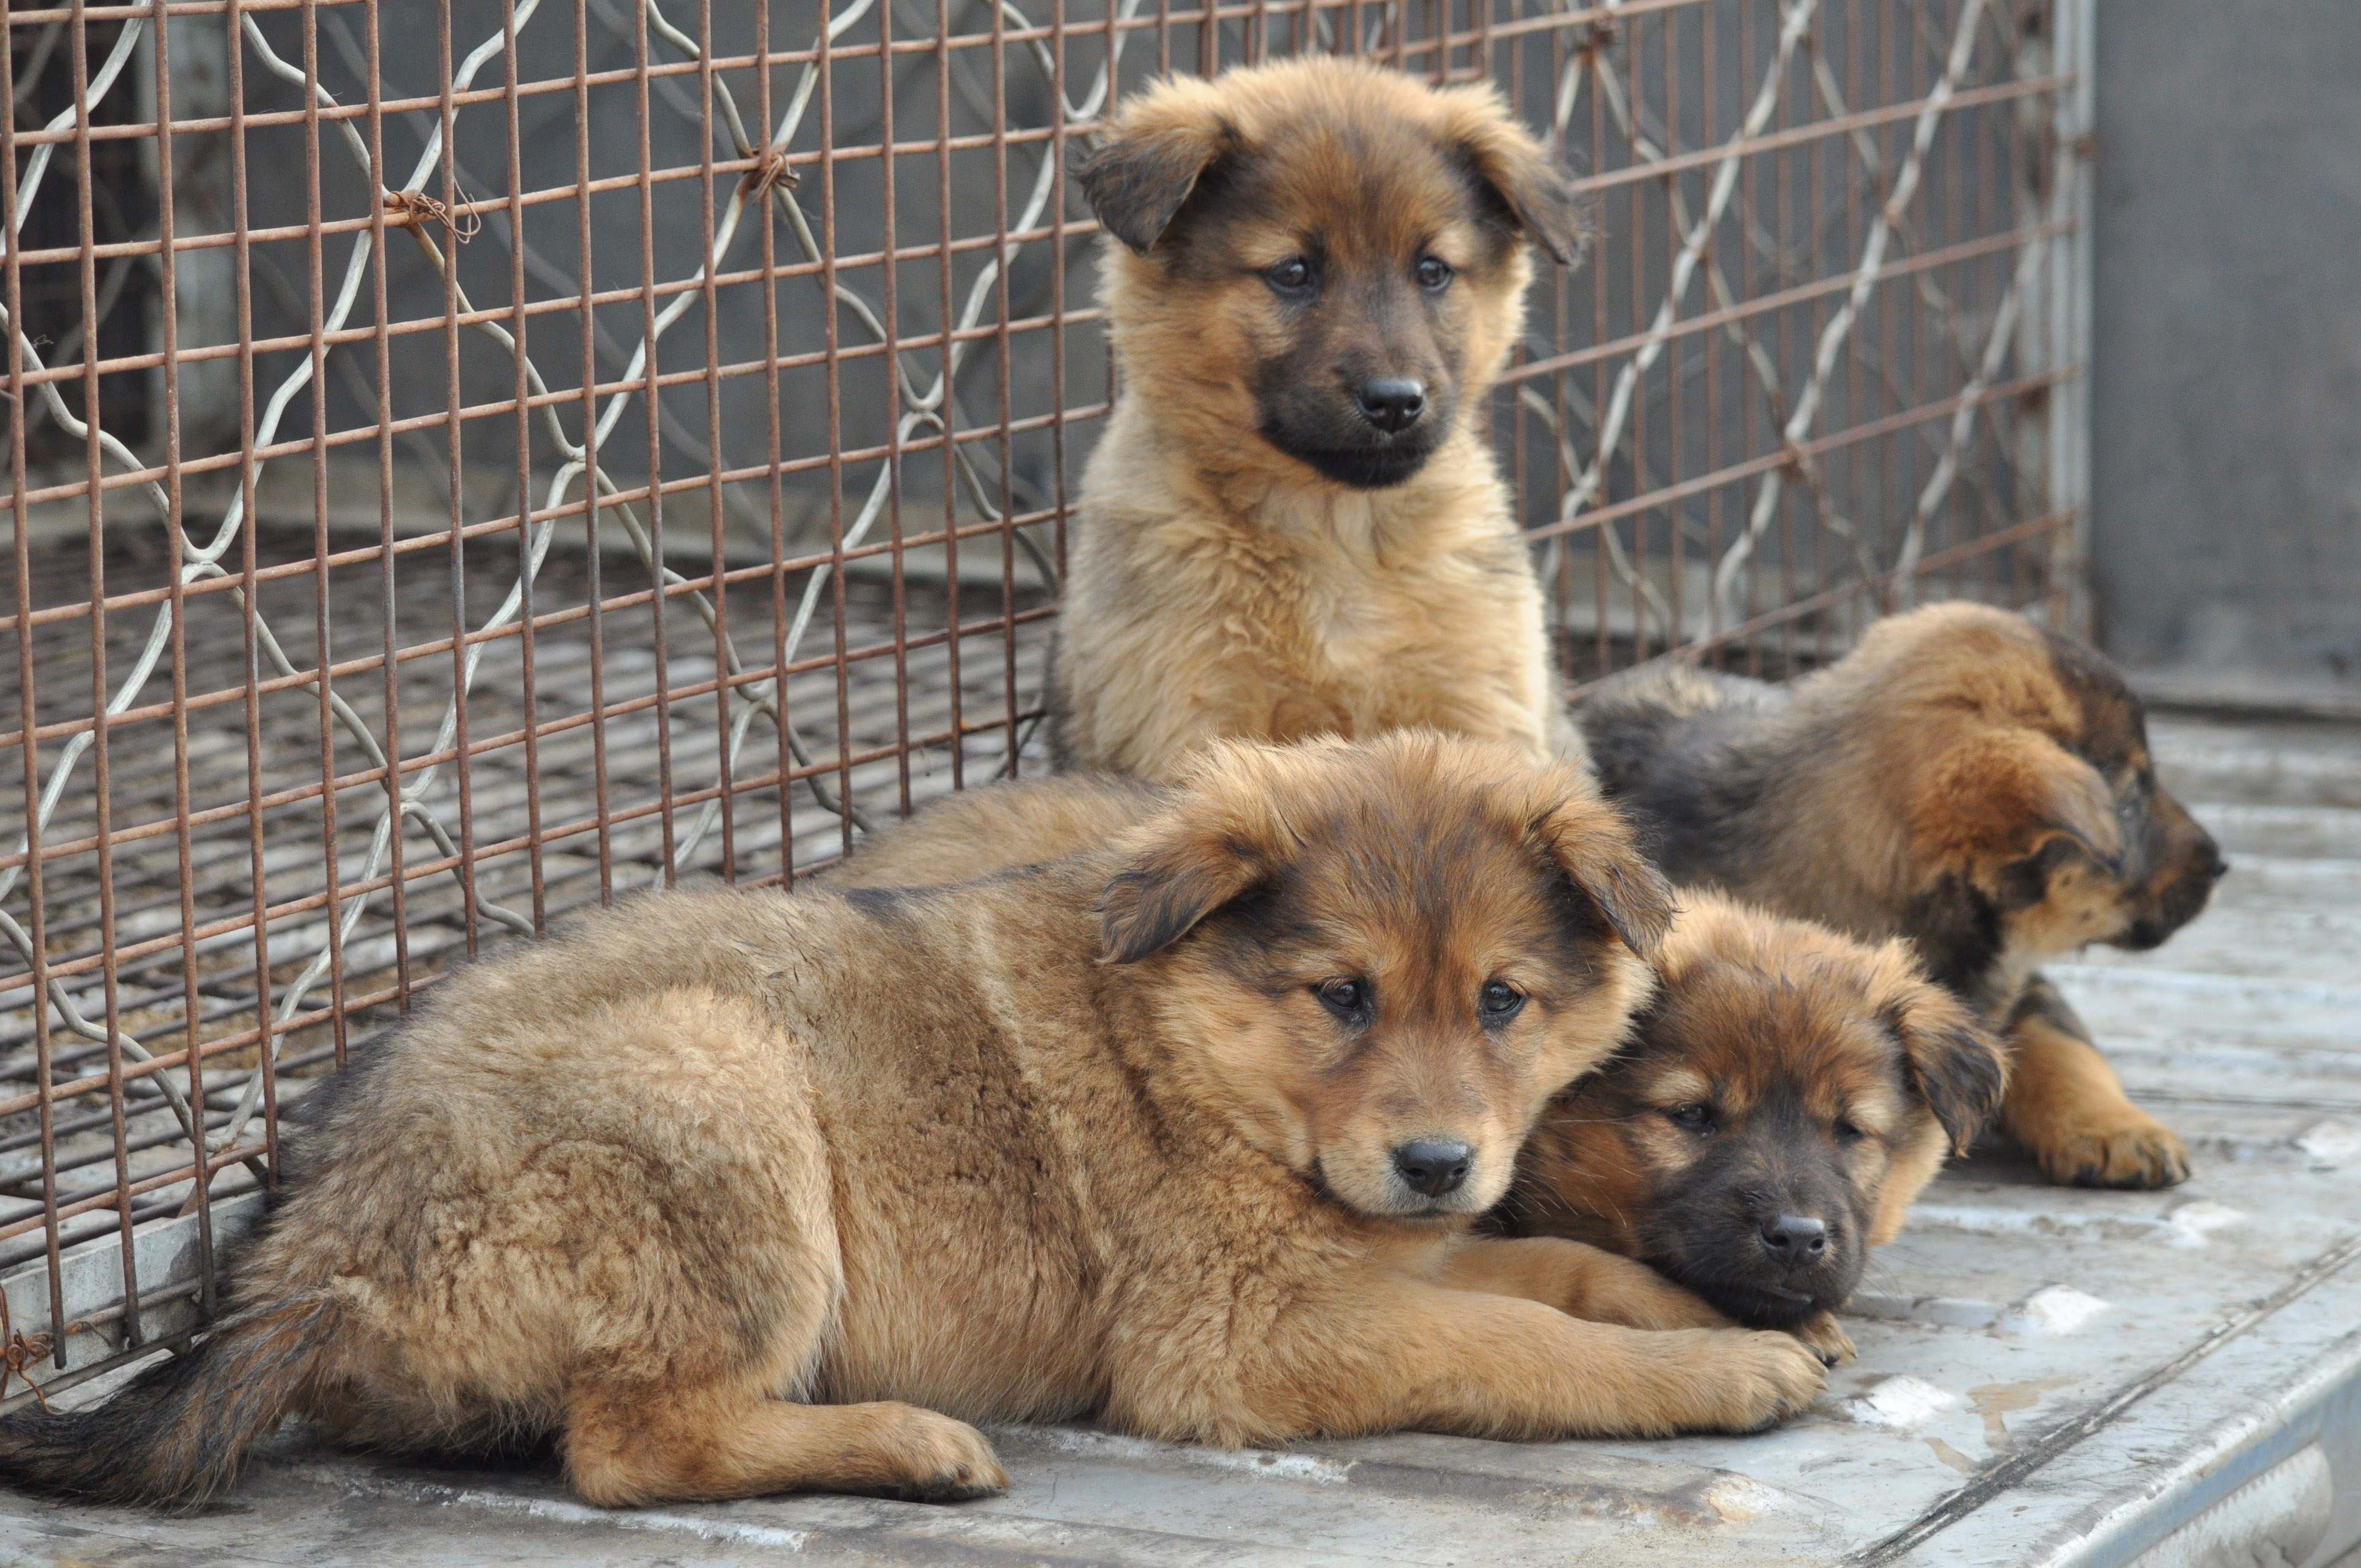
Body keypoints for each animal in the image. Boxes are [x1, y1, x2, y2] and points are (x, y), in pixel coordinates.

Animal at [0, 741, 1823, 1511]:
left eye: (1504, 1001)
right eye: (1343, 996)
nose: (1436, 1161)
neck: (1189, 1047)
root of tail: (313, 1259)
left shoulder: (1386, 1256)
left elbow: (1545, 1274)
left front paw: (1716, 1309)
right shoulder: (1245, 1338)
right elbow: (1521, 1338)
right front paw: (1716, 1367)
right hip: (720, 1083)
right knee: (633, 1450)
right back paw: (904, 1442)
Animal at [1062, 61, 1596, 783]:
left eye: (1432, 270)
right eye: (1293, 271)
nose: (1396, 401)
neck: (1339, 534)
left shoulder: (1483, 696)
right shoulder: (1183, 711)